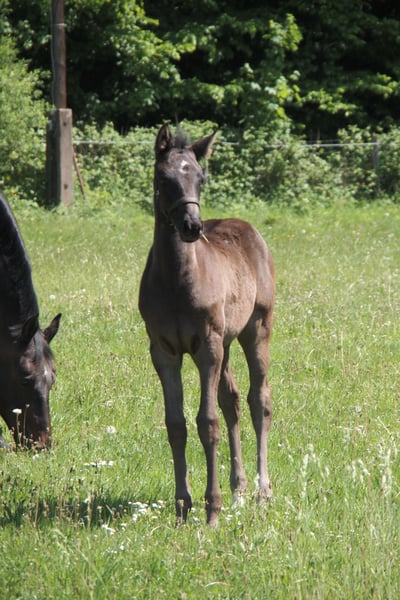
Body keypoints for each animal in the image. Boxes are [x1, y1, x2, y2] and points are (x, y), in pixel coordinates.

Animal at [139, 125, 275, 525]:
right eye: (163, 178)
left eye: (200, 177)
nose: (191, 226)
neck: (177, 282)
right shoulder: (163, 351)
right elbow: (177, 424)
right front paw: (182, 506)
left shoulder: (207, 347)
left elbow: (207, 421)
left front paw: (211, 509)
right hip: (227, 342)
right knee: (232, 400)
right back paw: (239, 489)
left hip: (256, 329)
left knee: (259, 400)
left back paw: (262, 492)